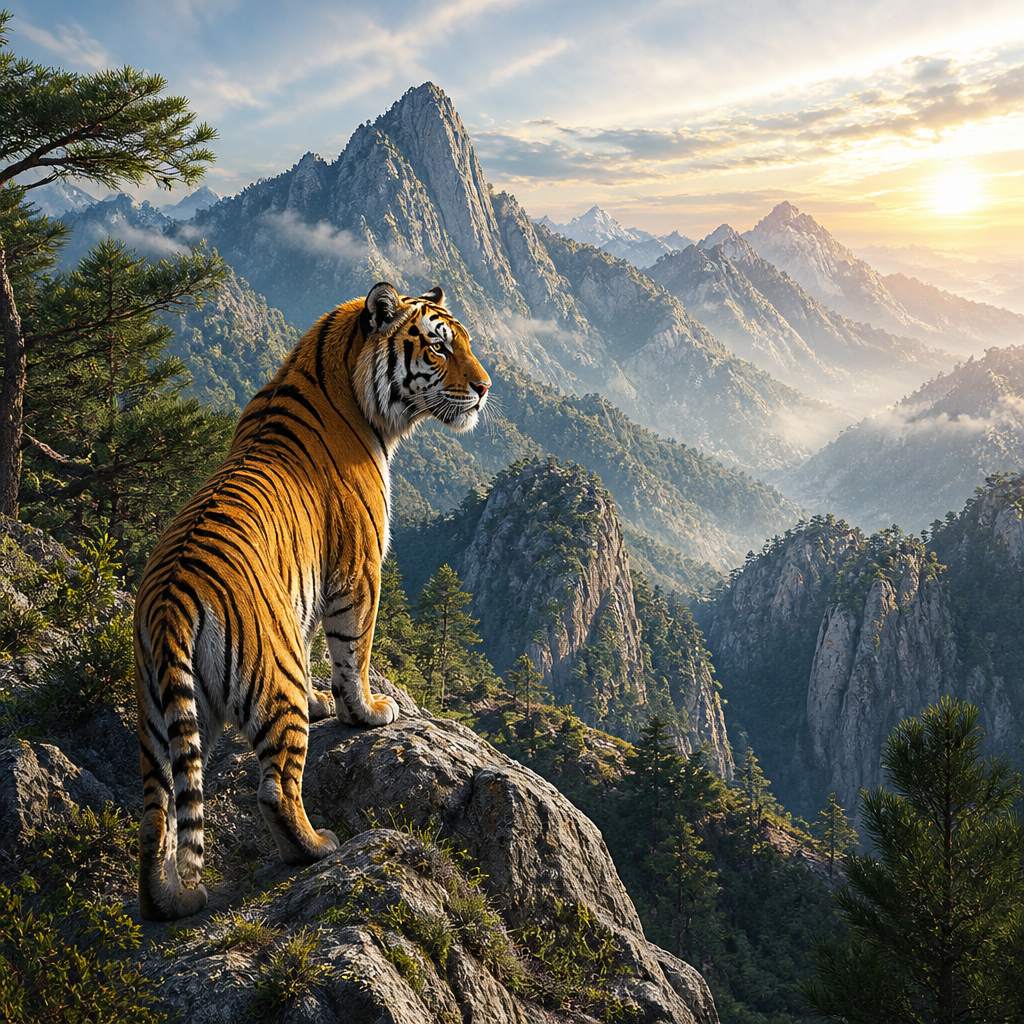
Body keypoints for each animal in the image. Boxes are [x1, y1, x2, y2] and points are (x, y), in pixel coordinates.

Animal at [133, 282, 491, 920]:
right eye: (439, 346)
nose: (485, 388)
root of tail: (172, 597)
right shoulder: (359, 570)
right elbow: (354, 653)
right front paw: (364, 711)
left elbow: (315, 645)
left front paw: (324, 700)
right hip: (271, 678)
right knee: (276, 785)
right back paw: (318, 846)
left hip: (155, 714)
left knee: (158, 815)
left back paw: (165, 899)